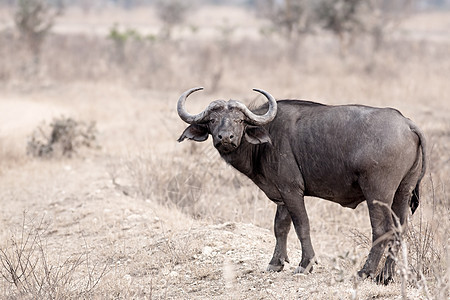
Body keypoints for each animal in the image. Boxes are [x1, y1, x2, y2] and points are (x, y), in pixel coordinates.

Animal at [176, 86, 426, 284]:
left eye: (239, 120)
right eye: (212, 120)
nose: (225, 138)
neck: (267, 139)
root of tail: (407, 123)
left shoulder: (292, 191)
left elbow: (301, 225)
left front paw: (305, 264)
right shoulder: (282, 194)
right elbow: (280, 227)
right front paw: (275, 263)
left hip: (377, 193)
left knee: (382, 230)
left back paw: (365, 272)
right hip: (402, 193)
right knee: (399, 230)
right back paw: (386, 276)